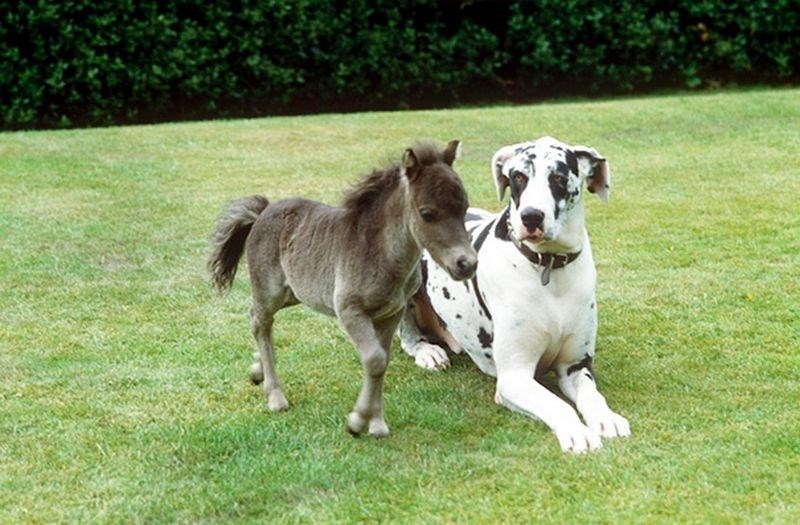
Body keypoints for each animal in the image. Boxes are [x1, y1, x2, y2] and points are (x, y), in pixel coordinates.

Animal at [209, 138, 478, 434]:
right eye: (427, 213)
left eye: (464, 208)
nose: (467, 264)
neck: (380, 253)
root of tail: (263, 212)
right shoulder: (350, 310)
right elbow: (374, 359)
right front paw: (358, 421)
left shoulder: (391, 313)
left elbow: (382, 362)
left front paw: (376, 424)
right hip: (270, 290)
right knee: (259, 321)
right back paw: (275, 395)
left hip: (296, 292)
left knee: (260, 321)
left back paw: (258, 369)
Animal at [400, 137, 632, 452]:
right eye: (519, 177)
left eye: (559, 178)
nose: (531, 216)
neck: (548, 268)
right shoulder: (514, 378)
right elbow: (558, 405)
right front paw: (576, 431)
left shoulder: (576, 366)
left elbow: (592, 396)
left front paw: (606, 417)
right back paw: (426, 351)